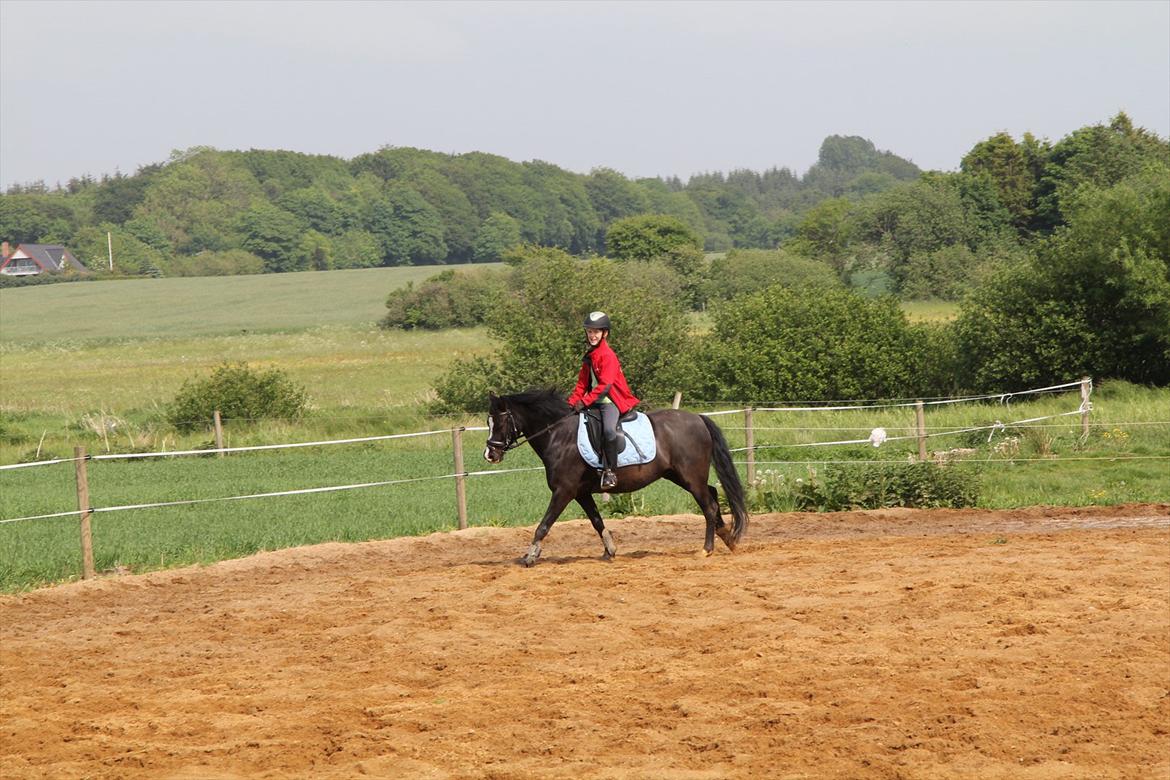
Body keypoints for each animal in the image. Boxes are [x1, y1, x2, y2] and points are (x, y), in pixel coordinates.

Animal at [482, 390, 748, 568]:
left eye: (502, 421)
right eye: (488, 421)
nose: (489, 455)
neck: (559, 435)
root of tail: (698, 418)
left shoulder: (563, 491)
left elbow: (544, 524)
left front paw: (530, 556)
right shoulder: (581, 493)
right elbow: (596, 520)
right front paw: (610, 550)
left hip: (690, 476)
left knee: (709, 504)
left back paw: (707, 549)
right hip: (680, 475)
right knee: (712, 494)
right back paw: (728, 538)